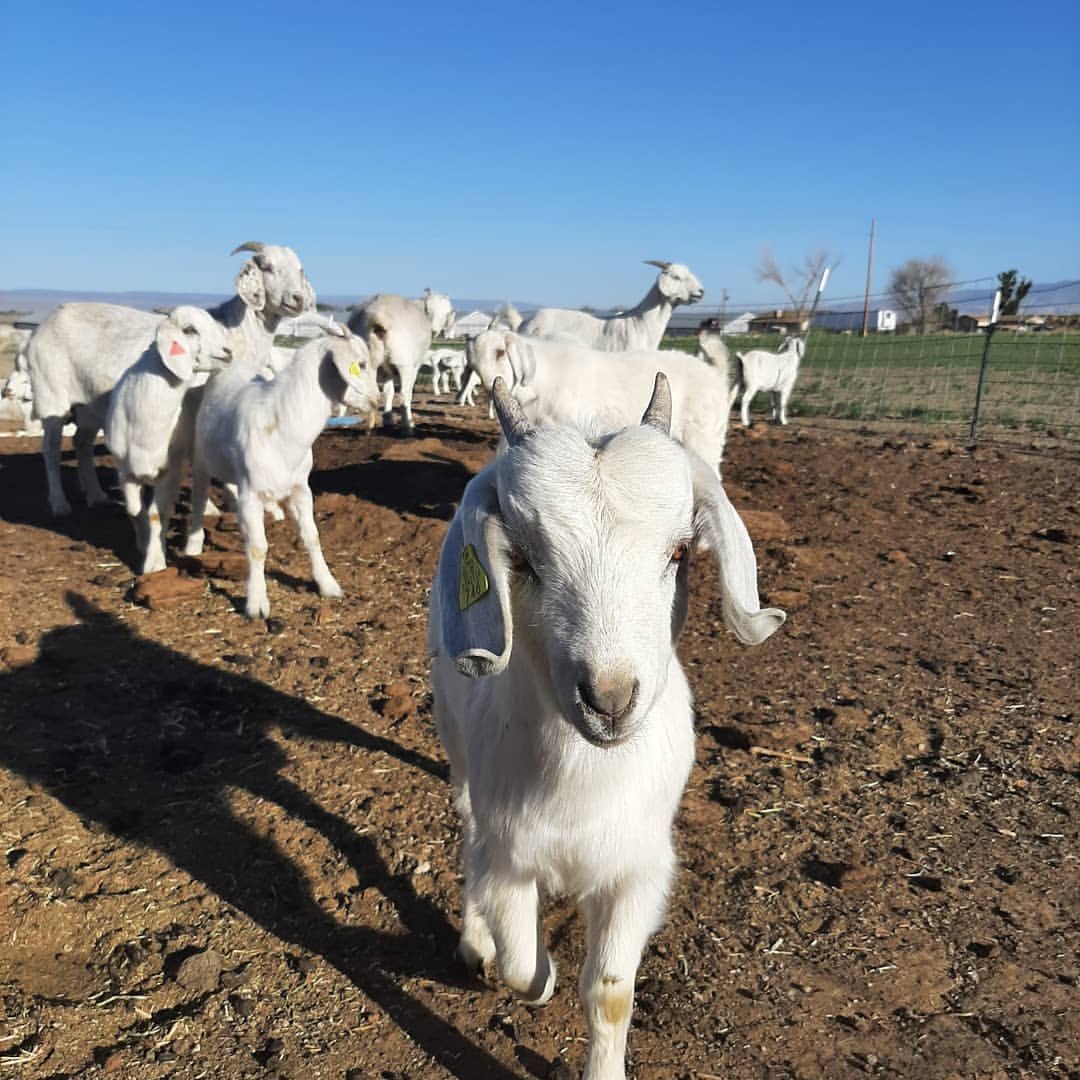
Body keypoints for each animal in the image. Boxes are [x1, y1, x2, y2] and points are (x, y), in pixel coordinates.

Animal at [430, 376, 784, 1080]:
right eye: (523, 559)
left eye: (679, 551)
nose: (610, 699)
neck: (583, 782)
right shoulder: (510, 857)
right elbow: (520, 965)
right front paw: (539, 976)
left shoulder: (640, 866)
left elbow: (611, 992)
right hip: (454, 741)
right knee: (466, 831)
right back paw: (473, 940)